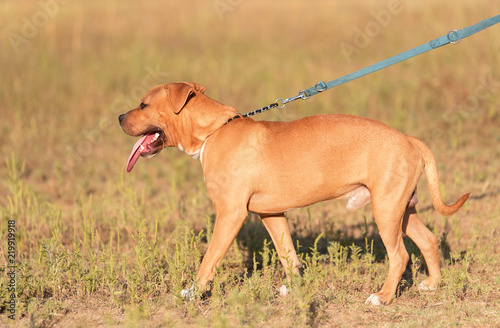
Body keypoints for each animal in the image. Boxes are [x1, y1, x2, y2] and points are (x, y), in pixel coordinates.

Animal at [119, 82, 470, 304]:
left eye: (143, 104)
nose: (120, 117)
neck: (213, 132)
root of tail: (408, 139)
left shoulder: (231, 214)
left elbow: (208, 261)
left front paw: (192, 293)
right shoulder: (270, 213)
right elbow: (288, 254)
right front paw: (296, 288)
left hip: (385, 211)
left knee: (400, 256)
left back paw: (381, 298)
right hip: (400, 208)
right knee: (428, 240)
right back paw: (432, 285)